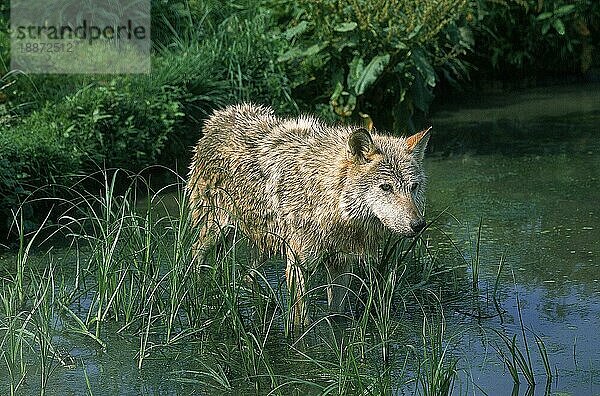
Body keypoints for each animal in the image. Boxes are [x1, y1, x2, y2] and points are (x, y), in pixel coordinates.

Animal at [185, 103, 428, 326]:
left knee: (246, 276)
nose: (419, 225)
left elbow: (337, 316)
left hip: (266, 243)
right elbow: (301, 322)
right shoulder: (298, 266)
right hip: (215, 230)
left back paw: (267, 301)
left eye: (414, 187)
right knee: (195, 255)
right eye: (386, 187)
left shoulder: (341, 264)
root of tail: (219, 116)